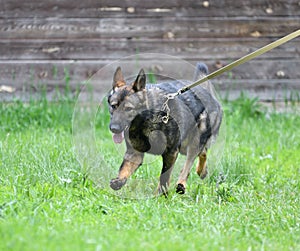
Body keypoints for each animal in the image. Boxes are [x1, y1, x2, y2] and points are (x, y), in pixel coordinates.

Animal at [106, 61, 221, 195]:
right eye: (114, 106)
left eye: (128, 108)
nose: (114, 128)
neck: (147, 120)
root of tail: (207, 92)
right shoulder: (134, 153)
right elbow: (124, 169)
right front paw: (119, 181)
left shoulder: (171, 152)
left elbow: (164, 177)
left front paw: (160, 195)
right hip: (184, 146)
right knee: (202, 152)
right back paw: (202, 171)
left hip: (193, 142)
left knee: (189, 163)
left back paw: (182, 184)